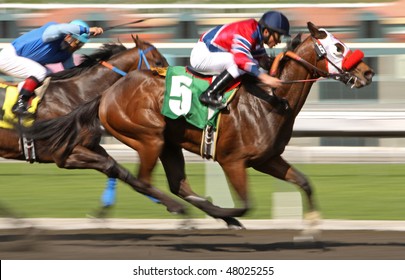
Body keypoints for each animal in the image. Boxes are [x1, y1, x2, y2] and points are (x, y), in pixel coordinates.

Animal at [0, 36, 185, 217]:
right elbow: (111, 166)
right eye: (158, 61)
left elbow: (120, 171)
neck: (75, 94)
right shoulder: (64, 154)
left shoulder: (92, 146)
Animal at [24, 23, 372, 229]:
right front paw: (229, 215)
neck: (272, 99)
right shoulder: (234, 161)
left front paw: (311, 226)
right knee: (141, 181)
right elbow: (245, 205)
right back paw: (188, 212)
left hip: (168, 143)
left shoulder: (268, 159)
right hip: (148, 138)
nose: (367, 73)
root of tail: (105, 94)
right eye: (338, 47)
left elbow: (304, 182)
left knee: (176, 185)